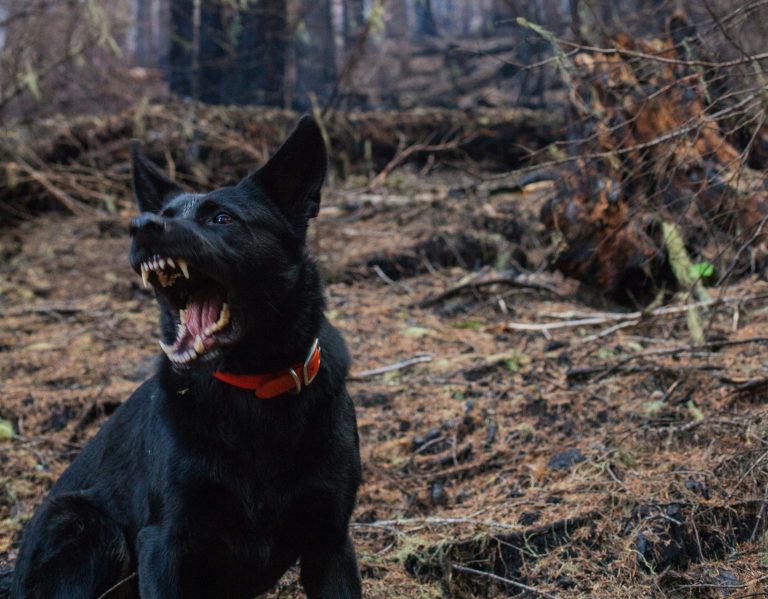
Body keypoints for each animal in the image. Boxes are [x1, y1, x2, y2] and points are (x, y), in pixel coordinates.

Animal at [11, 117, 360, 599]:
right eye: (167, 214)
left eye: (221, 218)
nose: (141, 225)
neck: (253, 392)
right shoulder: (165, 542)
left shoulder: (330, 543)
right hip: (84, 523)